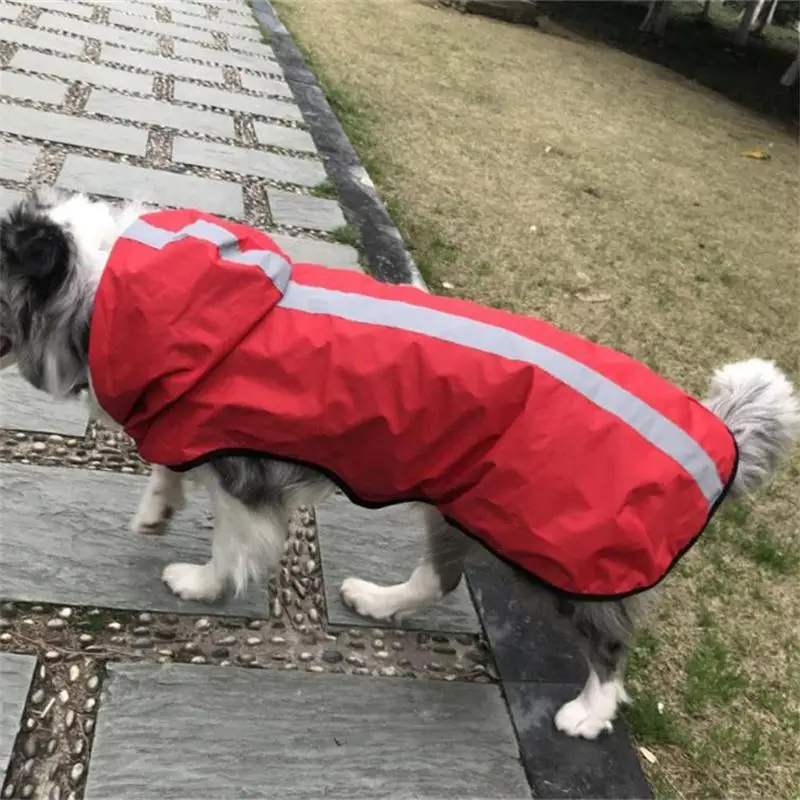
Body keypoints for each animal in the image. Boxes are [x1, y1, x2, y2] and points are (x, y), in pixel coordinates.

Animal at [0, 186, 796, 736]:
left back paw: (590, 712)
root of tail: (716, 436)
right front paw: (157, 509)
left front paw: (200, 585)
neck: (110, 292)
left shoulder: (247, 472)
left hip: (569, 550)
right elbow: (168, 466)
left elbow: (232, 545)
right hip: (463, 507)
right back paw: (376, 601)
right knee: (440, 578)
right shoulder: (190, 426)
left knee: (609, 639)